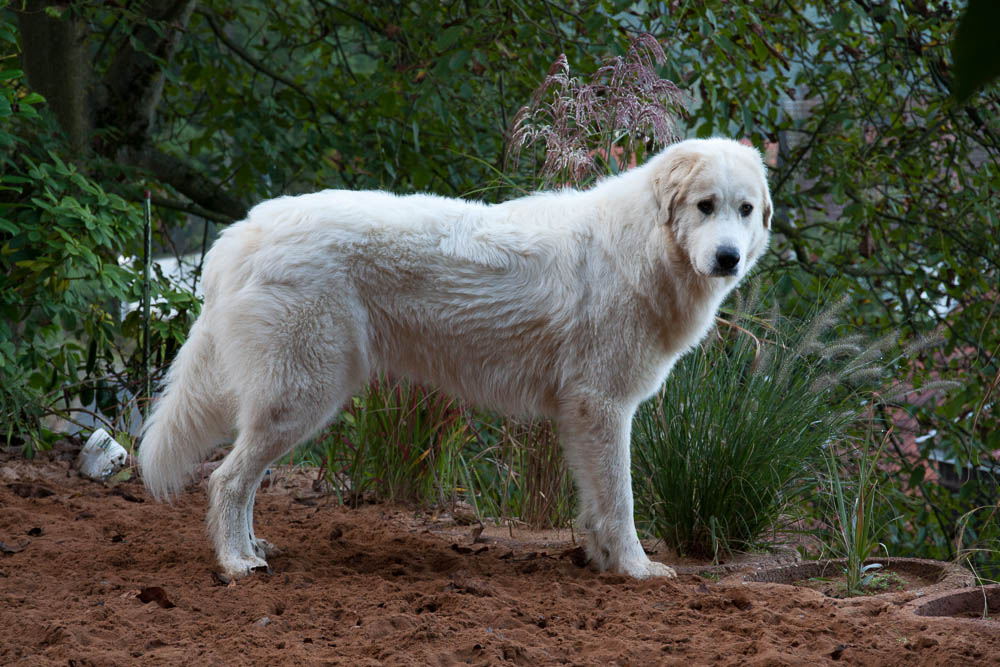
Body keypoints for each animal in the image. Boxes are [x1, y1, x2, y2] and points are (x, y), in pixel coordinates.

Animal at [137, 138, 768, 580]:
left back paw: (252, 549)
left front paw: (602, 562)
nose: (728, 258)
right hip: (301, 399)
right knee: (226, 481)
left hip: (293, 400)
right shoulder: (603, 407)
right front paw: (637, 570)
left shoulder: (586, 417)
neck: (644, 248)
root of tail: (238, 235)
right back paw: (236, 564)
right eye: (705, 206)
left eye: (744, 210)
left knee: (239, 482)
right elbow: (622, 500)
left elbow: (596, 503)